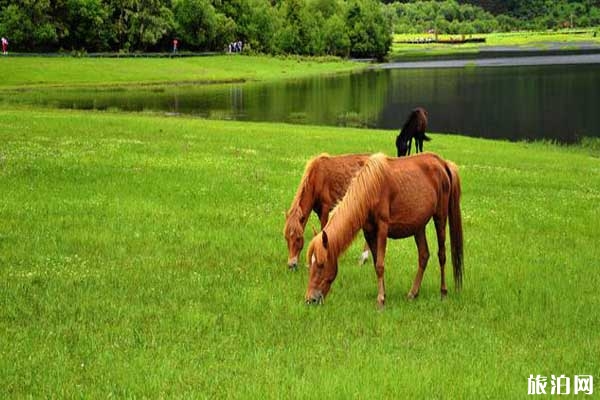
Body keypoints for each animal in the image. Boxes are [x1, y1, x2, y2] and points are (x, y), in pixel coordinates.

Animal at [304, 152, 464, 306]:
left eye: (321, 264)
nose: (310, 299)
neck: (370, 189)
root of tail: (443, 163)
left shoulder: (382, 228)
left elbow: (380, 264)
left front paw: (380, 300)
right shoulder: (369, 231)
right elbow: (376, 264)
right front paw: (384, 294)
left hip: (440, 217)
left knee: (441, 255)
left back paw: (443, 293)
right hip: (419, 226)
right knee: (424, 256)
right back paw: (413, 293)